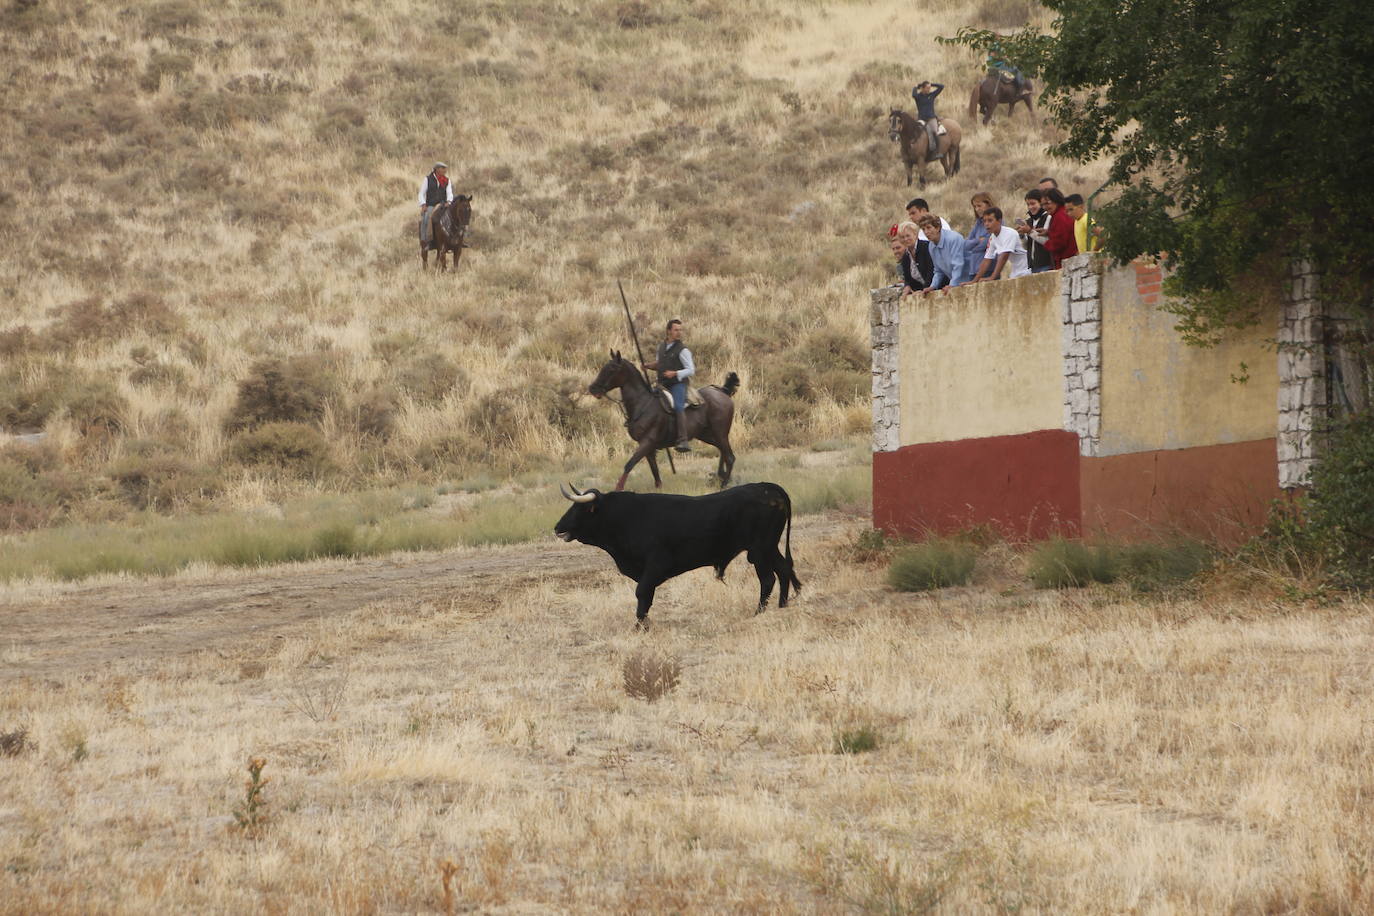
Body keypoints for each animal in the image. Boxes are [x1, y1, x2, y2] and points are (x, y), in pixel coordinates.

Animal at [552, 480, 802, 623]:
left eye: (580, 508)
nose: (557, 527)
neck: (625, 517)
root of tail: (769, 488)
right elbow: (646, 596)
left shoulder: (655, 565)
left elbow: (642, 593)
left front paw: (640, 625)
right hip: (769, 548)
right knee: (784, 570)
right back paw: (782, 606)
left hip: (760, 550)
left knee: (768, 578)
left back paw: (759, 612)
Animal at [588, 354, 741, 494]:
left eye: (612, 369)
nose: (592, 388)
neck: (643, 403)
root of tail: (723, 392)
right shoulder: (647, 447)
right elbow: (654, 469)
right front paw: (659, 487)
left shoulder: (647, 442)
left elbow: (629, 464)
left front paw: (619, 488)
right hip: (707, 435)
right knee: (722, 451)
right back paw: (720, 477)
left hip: (720, 433)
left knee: (730, 457)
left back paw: (723, 484)